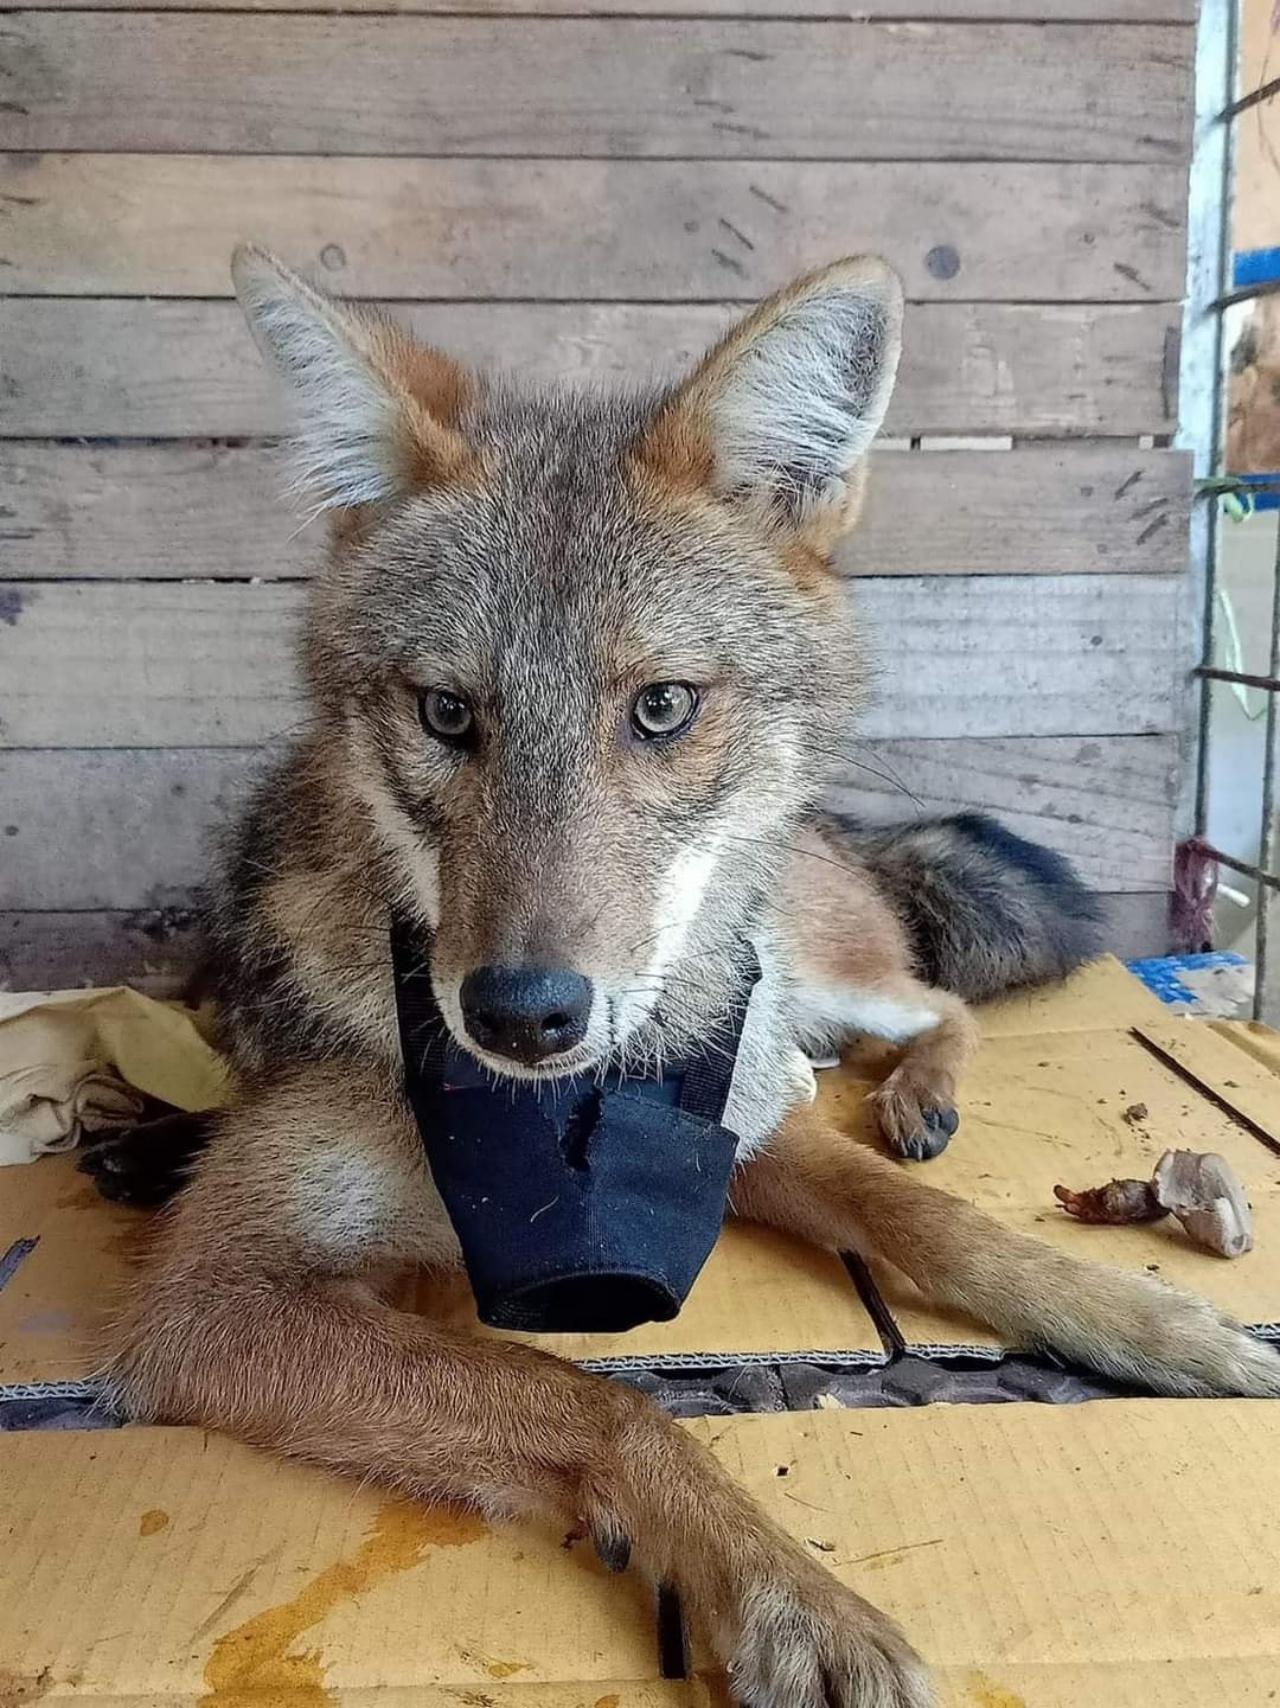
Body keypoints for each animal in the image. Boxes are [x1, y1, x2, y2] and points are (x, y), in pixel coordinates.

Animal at [100, 247, 1280, 1708]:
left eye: (659, 706)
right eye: (447, 714)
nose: (523, 1014)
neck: (544, 1132)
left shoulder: (728, 1132)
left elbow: (937, 1224)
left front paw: (1141, 1318)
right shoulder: (206, 1305)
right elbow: (605, 1401)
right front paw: (790, 1601)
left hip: (817, 983)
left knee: (936, 1007)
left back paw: (918, 1097)